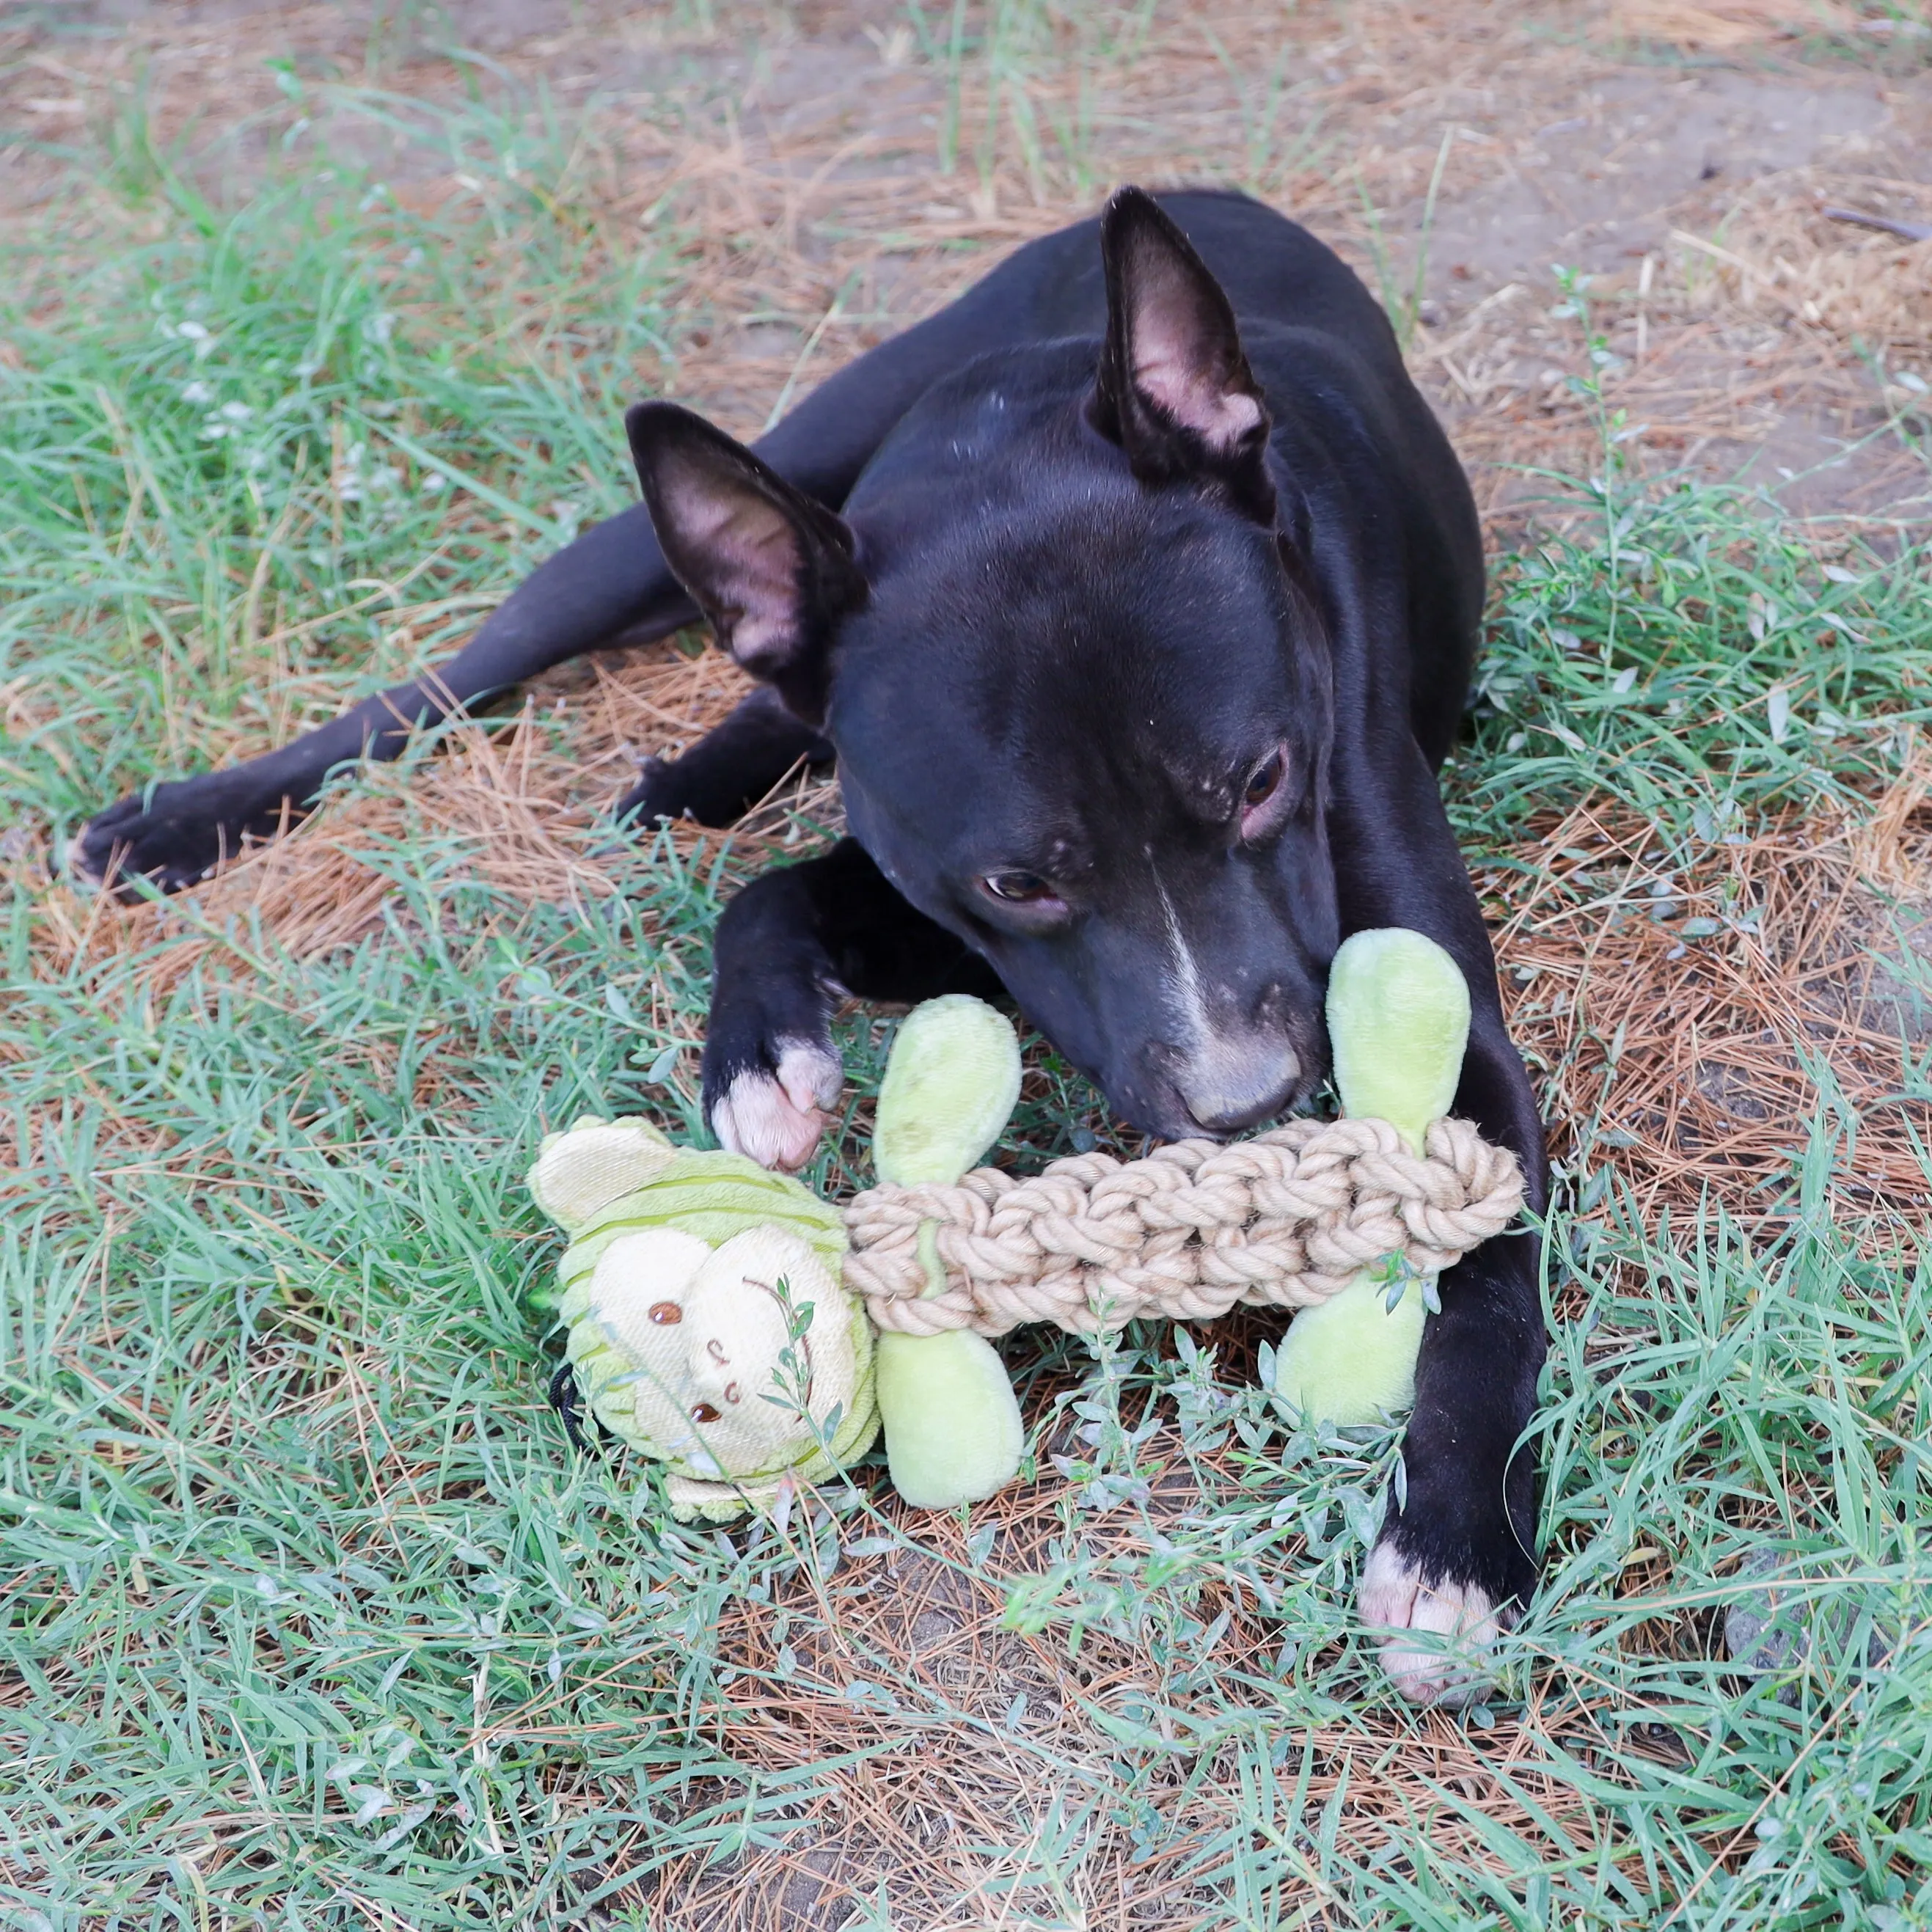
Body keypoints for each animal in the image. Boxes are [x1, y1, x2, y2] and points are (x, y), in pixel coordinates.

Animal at [78, 188, 1553, 1699]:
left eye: (1260, 779)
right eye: (1018, 878)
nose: (1251, 1099)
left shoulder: (1446, 1032)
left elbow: (1488, 1286)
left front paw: (1450, 1544)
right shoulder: (947, 904)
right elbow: (762, 900)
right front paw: (760, 1066)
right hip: (669, 533)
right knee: (455, 676)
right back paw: (186, 818)